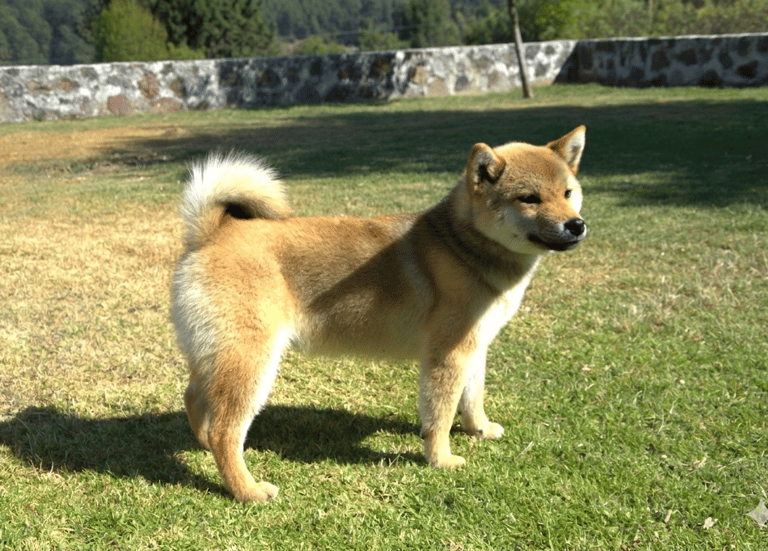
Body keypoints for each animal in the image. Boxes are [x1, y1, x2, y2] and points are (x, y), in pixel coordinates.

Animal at [171, 126, 587, 502]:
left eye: (568, 193)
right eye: (529, 198)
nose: (577, 224)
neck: (461, 246)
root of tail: (211, 235)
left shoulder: (474, 346)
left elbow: (472, 398)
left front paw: (479, 430)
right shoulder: (447, 354)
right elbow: (441, 414)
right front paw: (441, 459)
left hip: (219, 355)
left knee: (194, 398)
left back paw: (204, 445)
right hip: (251, 362)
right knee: (225, 430)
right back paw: (247, 489)